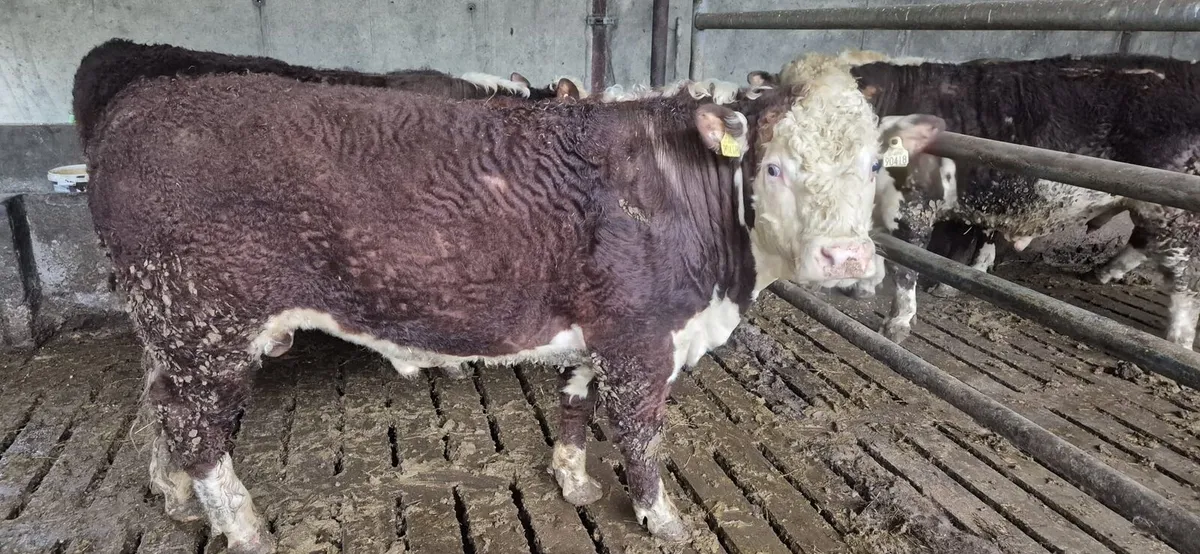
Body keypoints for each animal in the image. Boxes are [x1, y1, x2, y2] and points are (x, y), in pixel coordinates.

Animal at [80, 50, 893, 551]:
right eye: (775, 165)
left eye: (872, 164)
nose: (848, 257)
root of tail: (140, 104)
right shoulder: (640, 339)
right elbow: (639, 434)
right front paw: (662, 517)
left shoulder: (598, 329)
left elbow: (575, 401)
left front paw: (572, 478)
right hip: (206, 326)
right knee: (198, 428)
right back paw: (242, 526)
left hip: (171, 327)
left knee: (159, 400)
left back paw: (173, 492)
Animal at [774, 53, 1200, 348]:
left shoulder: (913, 206)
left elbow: (904, 264)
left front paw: (896, 323)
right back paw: (1104, 273)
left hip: (1174, 213)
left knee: (1185, 278)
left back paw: (1177, 342)